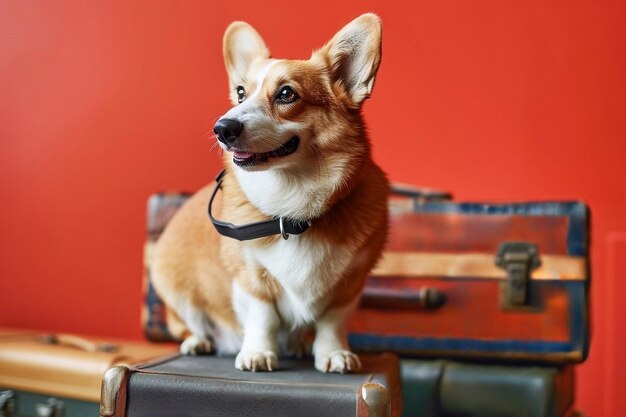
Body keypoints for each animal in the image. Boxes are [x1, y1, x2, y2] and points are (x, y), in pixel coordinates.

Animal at [151, 13, 386, 372]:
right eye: (240, 93)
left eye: (287, 94)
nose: (221, 129)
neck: (293, 207)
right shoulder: (249, 277)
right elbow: (264, 317)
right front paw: (258, 353)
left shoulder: (350, 284)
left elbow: (331, 321)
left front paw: (333, 353)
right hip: (174, 290)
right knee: (192, 323)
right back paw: (199, 341)